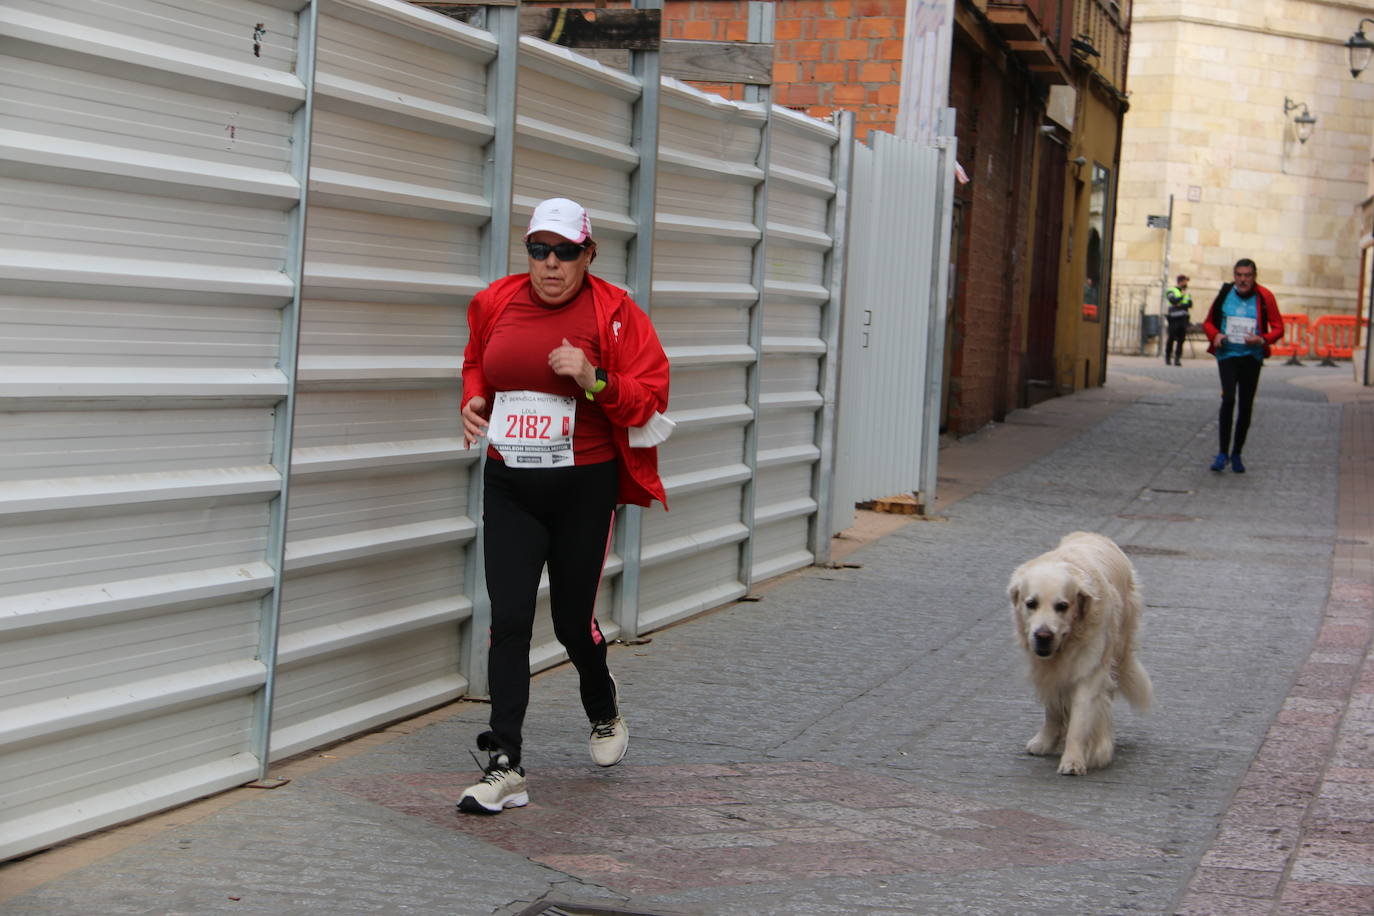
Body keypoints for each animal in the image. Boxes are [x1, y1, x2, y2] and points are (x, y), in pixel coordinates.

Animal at [1011, 530, 1148, 774]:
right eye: (1031, 603)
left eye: (1062, 606)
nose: (1043, 635)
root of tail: (1093, 535)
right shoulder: (1048, 672)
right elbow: (1053, 710)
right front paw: (1045, 741)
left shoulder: (1090, 671)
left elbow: (1080, 720)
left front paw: (1074, 760)